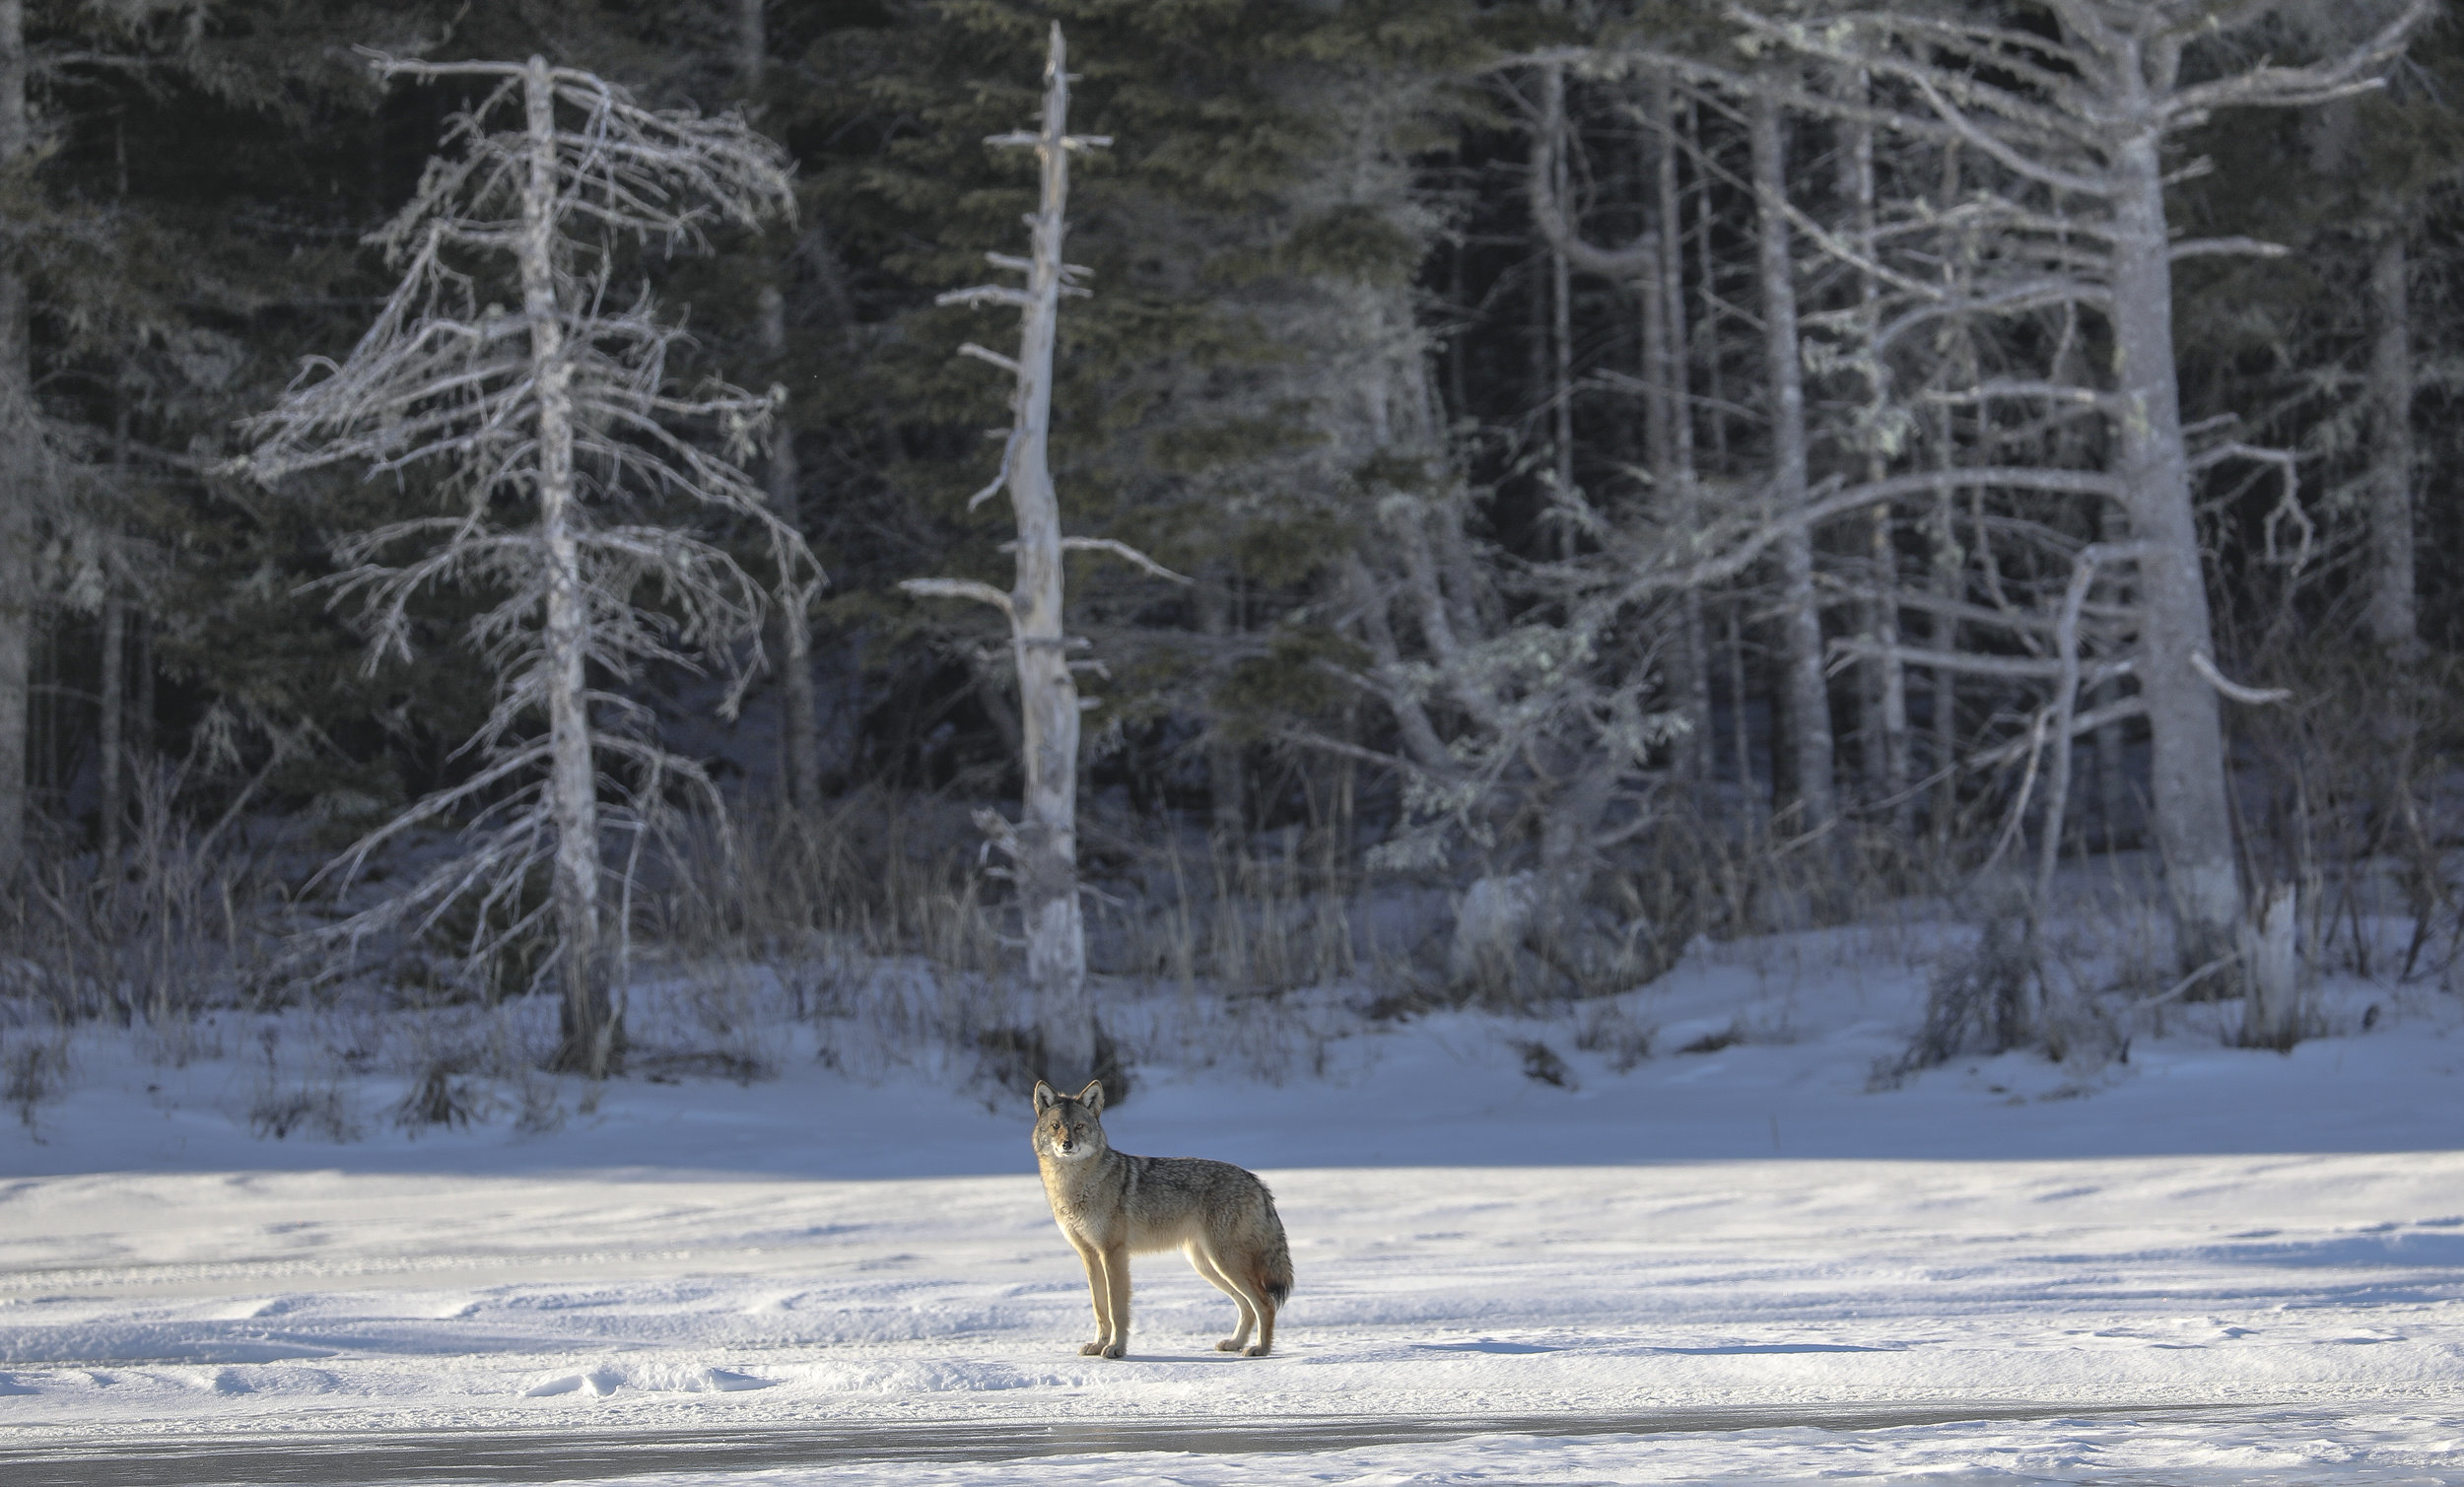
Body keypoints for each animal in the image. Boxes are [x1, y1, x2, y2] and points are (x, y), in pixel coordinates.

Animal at [1030, 1079, 1293, 1359]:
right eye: (1056, 1126)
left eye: (1079, 1126)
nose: (1067, 1144)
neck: (1075, 1185)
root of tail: (1256, 1181)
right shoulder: (1089, 1255)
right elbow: (1099, 1308)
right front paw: (1098, 1344)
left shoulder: (1113, 1253)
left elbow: (1116, 1309)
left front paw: (1116, 1348)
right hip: (1209, 1265)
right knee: (1246, 1306)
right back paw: (1235, 1343)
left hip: (1225, 1263)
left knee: (1264, 1304)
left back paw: (1260, 1348)